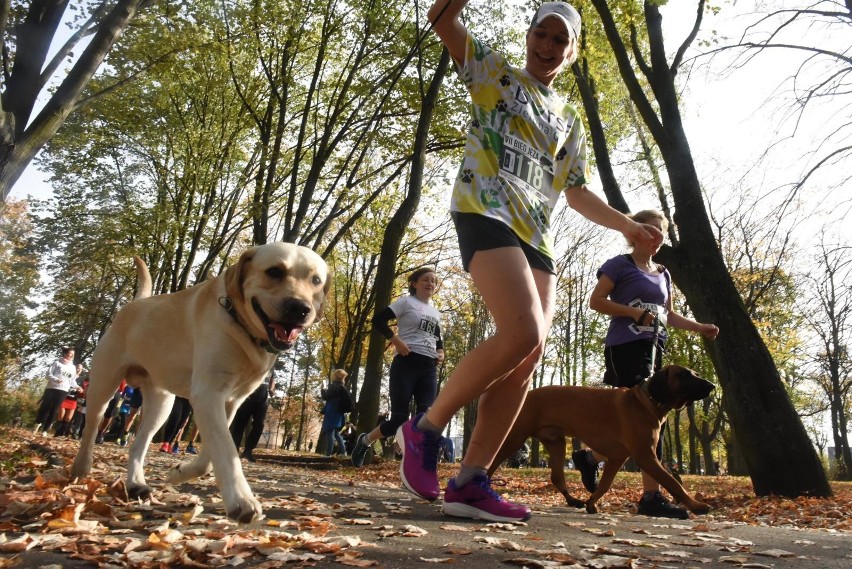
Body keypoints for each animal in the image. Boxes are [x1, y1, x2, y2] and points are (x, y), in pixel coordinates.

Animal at [72, 242, 330, 520]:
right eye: (274, 271)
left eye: (316, 280)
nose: (300, 308)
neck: (242, 327)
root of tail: (136, 302)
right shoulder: (207, 393)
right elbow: (226, 449)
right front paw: (241, 499)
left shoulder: (229, 402)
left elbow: (211, 455)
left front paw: (179, 472)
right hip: (103, 385)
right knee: (91, 427)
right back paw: (80, 469)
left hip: (161, 405)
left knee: (138, 444)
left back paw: (136, 484)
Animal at [490, 364, 716, 516]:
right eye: (684, 374)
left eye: (695, 373)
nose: (712, 385)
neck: (646, 401)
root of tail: (527, 395)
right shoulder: (646, 456)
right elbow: (672, 482)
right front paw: (696, 506)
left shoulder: (618, 458)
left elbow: (605, 484)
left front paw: (591, 502)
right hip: (514, 439)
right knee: (492, 464)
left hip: (557, 443)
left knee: (557, 477)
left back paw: (573, 500)